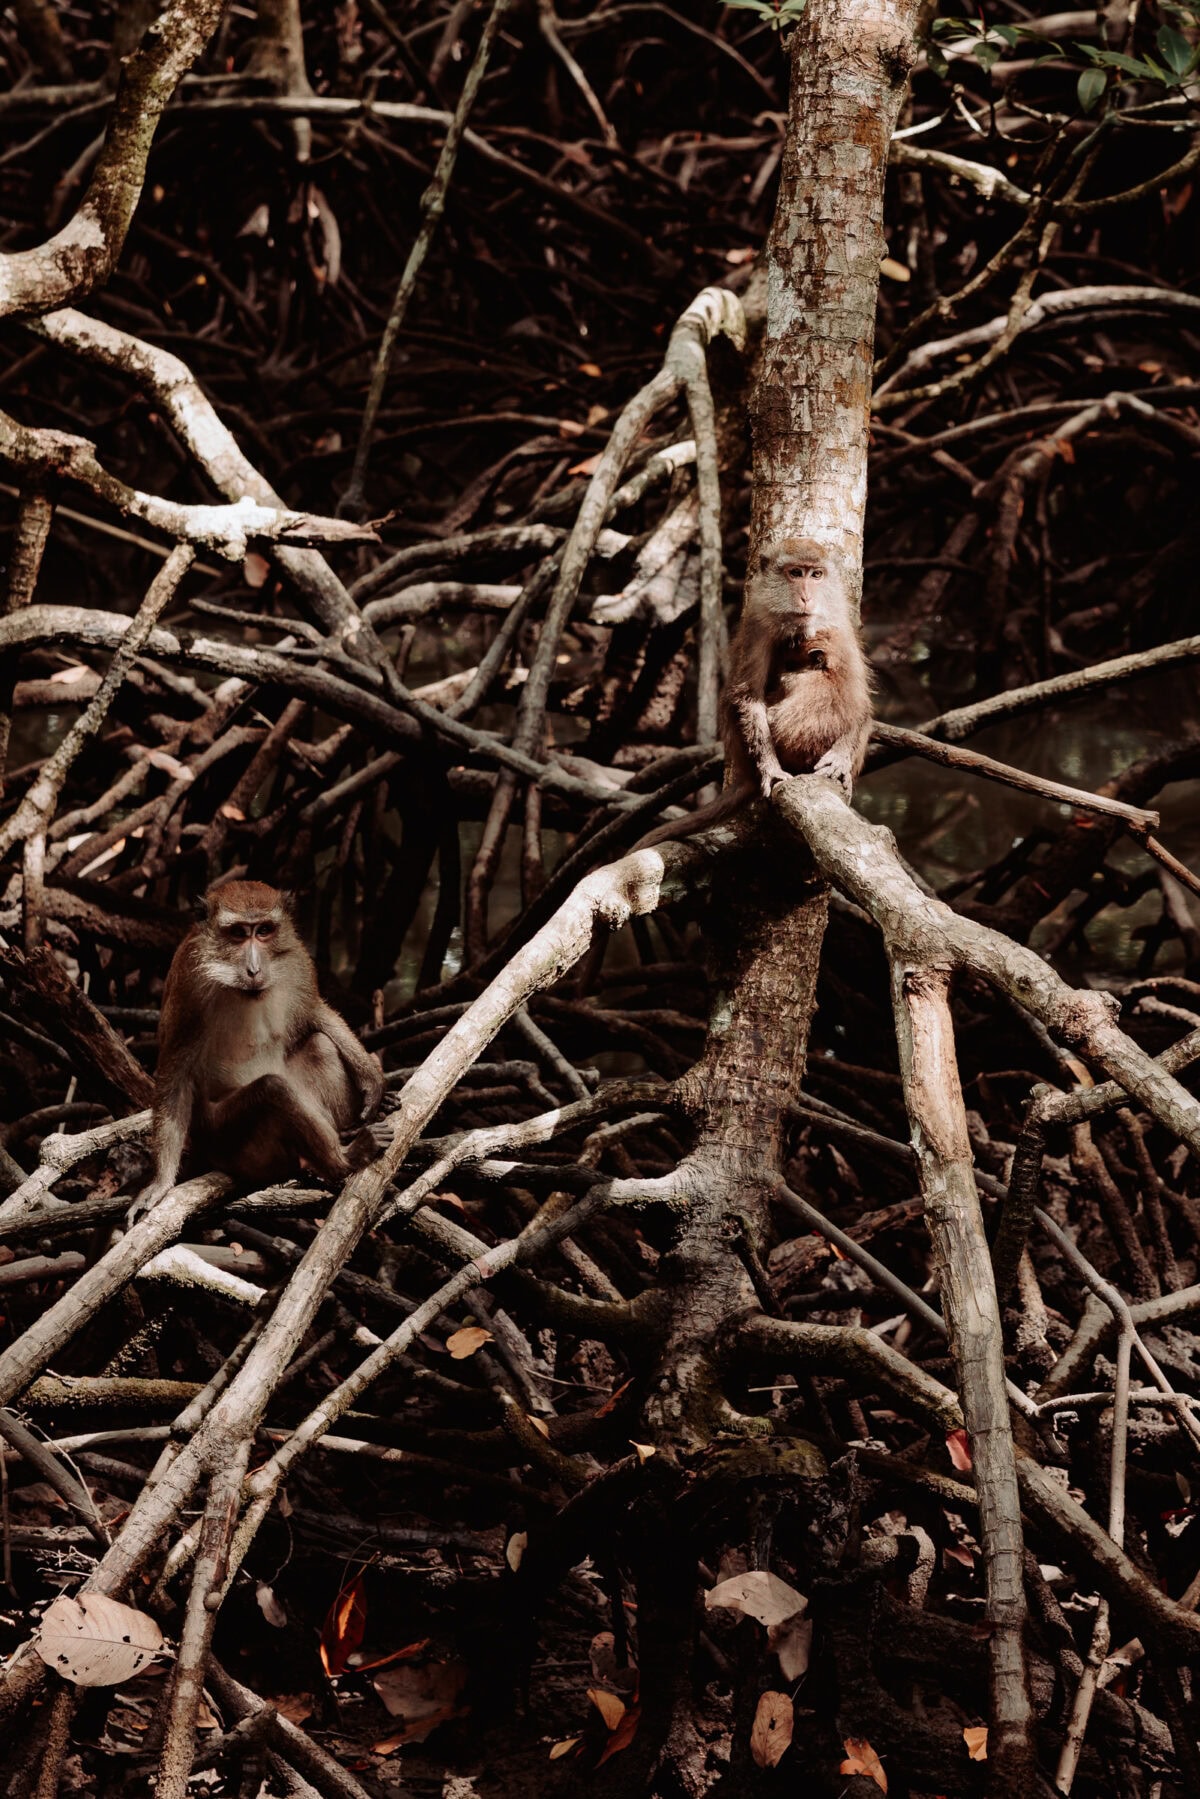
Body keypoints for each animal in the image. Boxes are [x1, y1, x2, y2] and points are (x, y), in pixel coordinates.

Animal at [133, 880, 384, 1214]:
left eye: (264, 931)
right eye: (239, 933)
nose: (253, 969)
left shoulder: (297, 961)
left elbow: (315, 1013)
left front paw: (372, 1079)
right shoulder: (189, 983)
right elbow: (176, 1075)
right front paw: (159, 1184)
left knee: (320, 1046)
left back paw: (346, 1138)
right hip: (233, 1143)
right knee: (272, 1090)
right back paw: (342, 1161)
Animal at [635, 538, 872, 850]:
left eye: (816, 575)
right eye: (795, 573)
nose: (806, 597)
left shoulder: (840, 626)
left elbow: (862, 703)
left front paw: (840, 756)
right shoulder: (758, 624)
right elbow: (748, 695)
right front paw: (770, 768)